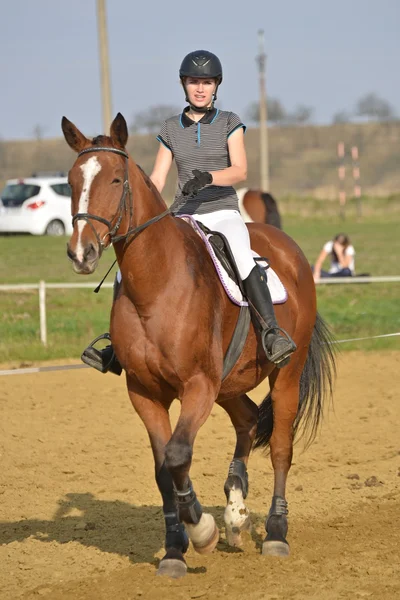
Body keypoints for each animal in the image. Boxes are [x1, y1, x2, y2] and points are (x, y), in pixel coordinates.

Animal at [62, 112, 336, 576]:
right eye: (70, 181)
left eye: (116, 179)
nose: (82, 253)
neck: (156, 284)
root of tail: (288, 249)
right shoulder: (145, 392)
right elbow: (163, 469)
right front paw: (176, 548)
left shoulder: (197, 385)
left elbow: (177, 456)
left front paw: (201, 530)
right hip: (228, 383)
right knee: (247, 421)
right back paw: (236, 512)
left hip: (283, 376)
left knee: (281, 448)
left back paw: (274, 532)